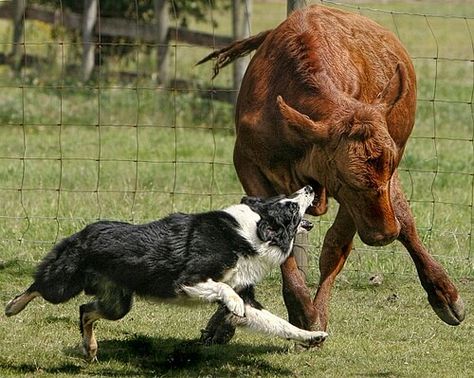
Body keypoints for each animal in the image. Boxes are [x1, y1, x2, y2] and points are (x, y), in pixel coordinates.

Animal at [5, 186, 326, 360]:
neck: (250, 233)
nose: (310, 187)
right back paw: (12, 307)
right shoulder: (187, 280)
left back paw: (91, 348)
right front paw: (232, 302)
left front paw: (311, 336)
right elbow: (225, 291)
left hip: (117, 304)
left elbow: (278, 323)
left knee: (85, 310)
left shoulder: (247, 297)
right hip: (63, 284)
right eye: (291, 208)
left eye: (289, 199)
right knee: (38, 286)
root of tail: (84, 230)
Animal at [196, 3, 462, 346]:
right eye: (349, 178)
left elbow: (335, 247)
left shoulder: (366, 193)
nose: (385, 234)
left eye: (388, 168)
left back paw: (445, 295)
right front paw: (299, 309)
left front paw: (314, 316)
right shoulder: (249, 165)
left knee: (404, 221)